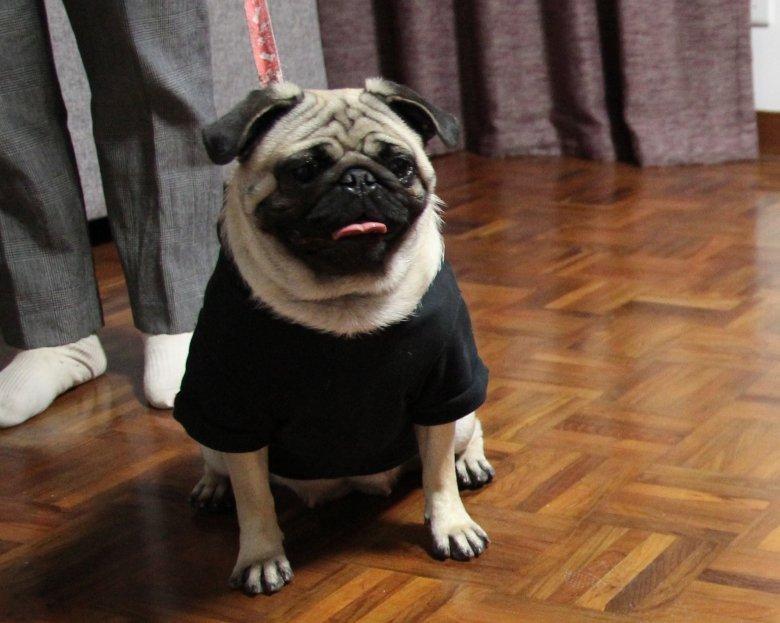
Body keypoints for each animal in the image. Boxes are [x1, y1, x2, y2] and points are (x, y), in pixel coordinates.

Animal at [173, 79, 494, 596]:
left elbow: (439, 476)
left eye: (400, 166)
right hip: (211, 431)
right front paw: (260, 556)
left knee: (469, 432)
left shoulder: (443, 390)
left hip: (460, 414)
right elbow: (255, 501)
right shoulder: (234, 412)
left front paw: (451, 524)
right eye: (303, 171)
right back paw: (214, 487)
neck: (347, 298)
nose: (359, 179)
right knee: (220, 464)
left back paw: (471, 462)